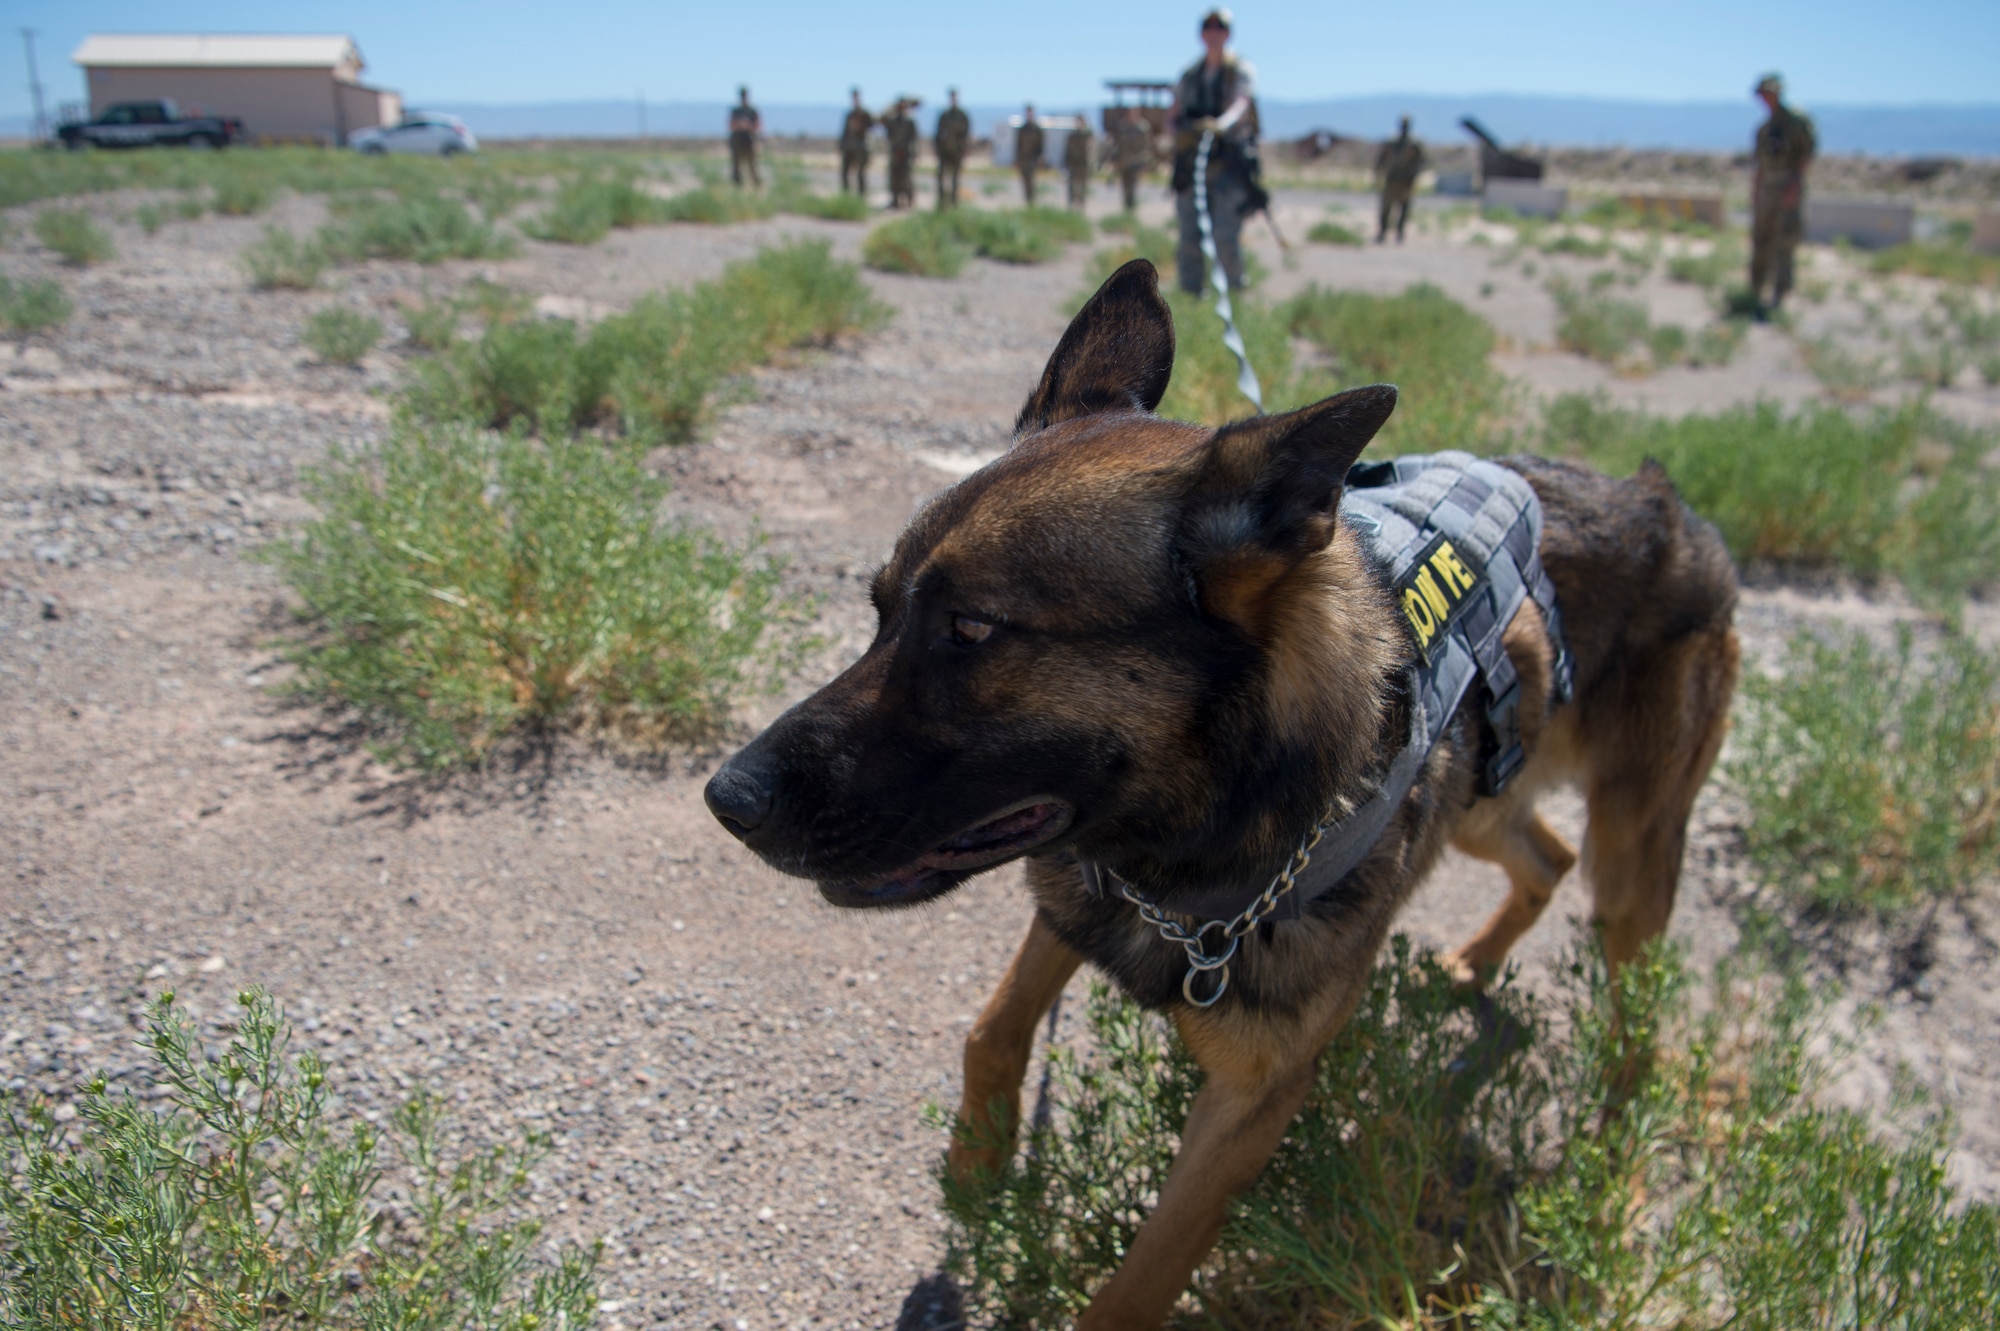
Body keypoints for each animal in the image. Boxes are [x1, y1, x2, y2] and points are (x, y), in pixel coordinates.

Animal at [704, 259, 1736, 1327]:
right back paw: (1475, 962)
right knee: (1547, 854)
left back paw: (1614, 1169)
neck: (1213, 823)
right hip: (1488, 801)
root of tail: (1668, 503)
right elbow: (992, 1029)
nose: (726, 796)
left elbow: (1139, 1280)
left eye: (973, 629)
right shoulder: (1086, 899)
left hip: (1634, 860)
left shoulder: (1247, 1105)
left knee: (1635, 1018)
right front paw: (977, 1166)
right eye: (878, 611)